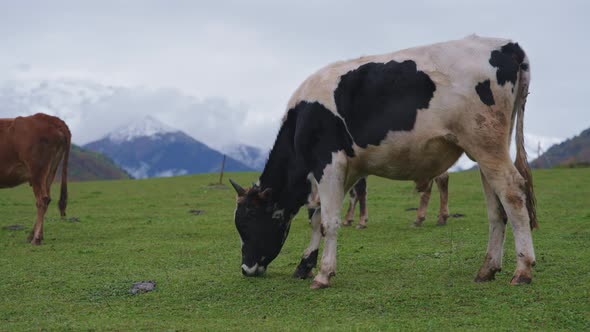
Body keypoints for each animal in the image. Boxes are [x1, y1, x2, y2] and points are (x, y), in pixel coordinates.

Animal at [0, 113, 71, 245]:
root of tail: (50, 118)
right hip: (50, 171)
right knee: (47, 199)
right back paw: (34, 236)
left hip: (37, 171)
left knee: (42, 200)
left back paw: (36, 238)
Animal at [234, 34, 540, 288]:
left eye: (247, 223)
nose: (246, 269)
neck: (301, 119)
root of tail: (507, 45)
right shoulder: (345, 170)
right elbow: (317, 217)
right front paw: (305, 264)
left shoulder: (328, 163)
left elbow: (328, 221)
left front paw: (323, 274)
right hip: (486, 150)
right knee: (495, 207)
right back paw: (487, 269)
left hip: (486, 144)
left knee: (512, 193)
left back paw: (522, 269)